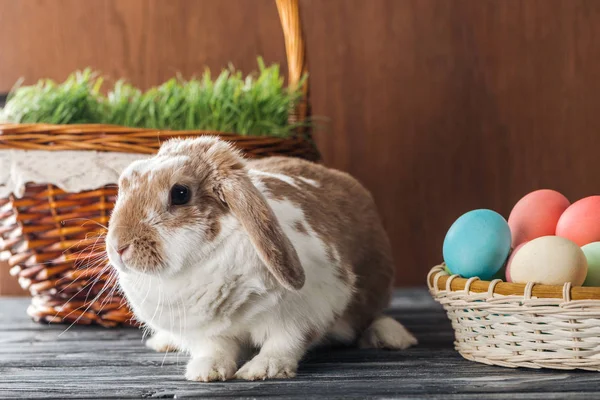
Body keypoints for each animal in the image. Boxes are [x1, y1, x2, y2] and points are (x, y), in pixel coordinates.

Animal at [106, 137, 418, 382]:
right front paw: (205, 371)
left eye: (180, 193)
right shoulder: (204, 331)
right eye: (124, 185)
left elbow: (285, 343)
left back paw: (393, 337)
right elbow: (214, 349)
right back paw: (162, 343)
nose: (119, 247)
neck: (201, 264)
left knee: (371, 316)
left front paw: (262, 369)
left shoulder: (308, 309)